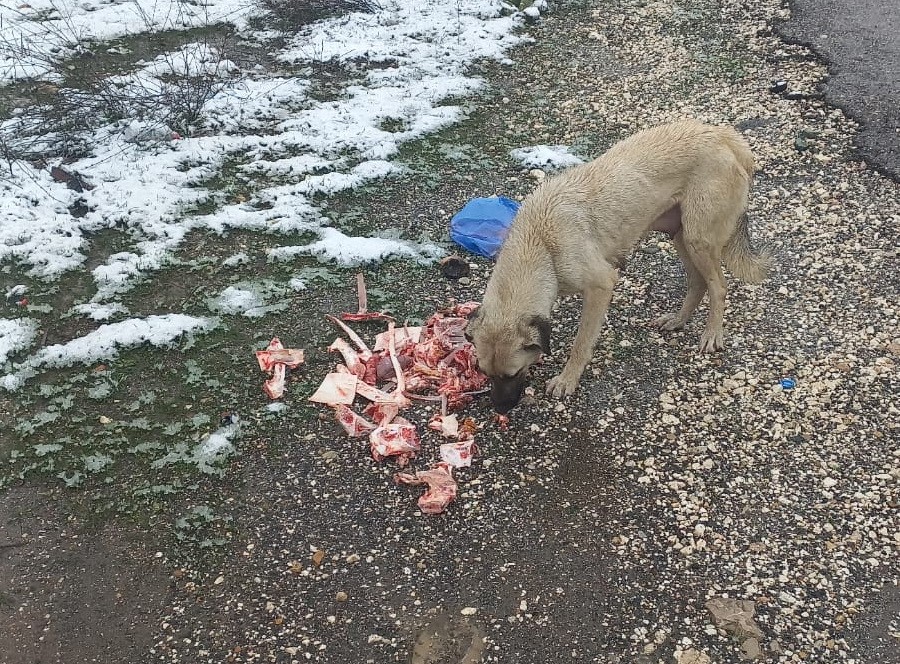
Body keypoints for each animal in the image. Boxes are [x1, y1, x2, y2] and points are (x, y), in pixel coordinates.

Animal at [468, 116, 768, 412]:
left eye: (512, 374)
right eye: (485, 373)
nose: (499, 409)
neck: (539, 244)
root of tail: (724, 135)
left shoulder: (601, 285)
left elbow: (581, 342)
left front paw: (567, 379)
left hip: (698, 239)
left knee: (718, 287)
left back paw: (712, 334)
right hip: (681, 235)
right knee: (698, 282)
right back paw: (678, 320)